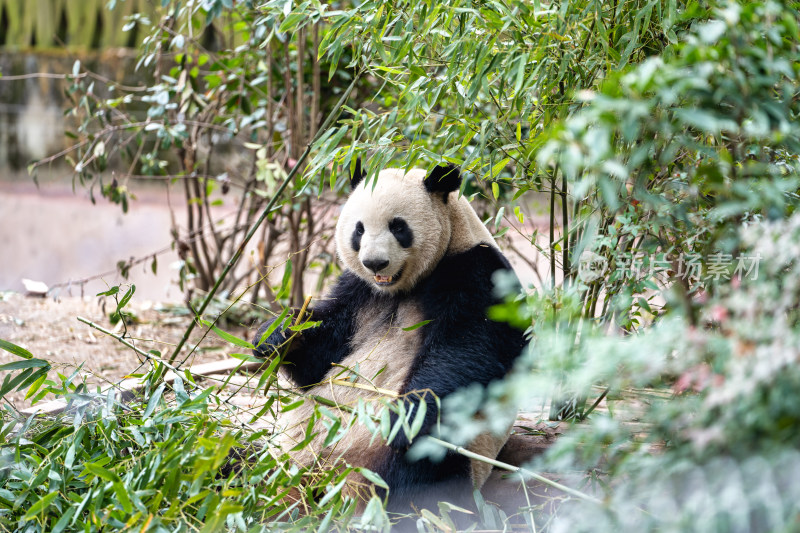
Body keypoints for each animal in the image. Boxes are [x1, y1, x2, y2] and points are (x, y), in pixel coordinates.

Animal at [255, 162, 524, 512]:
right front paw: (276, 334)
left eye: (398, 227)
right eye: (358, 230)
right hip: (284, 458)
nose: (374, 263)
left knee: (420, 472)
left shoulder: (476, 272)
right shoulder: (359, 292)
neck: (401, 287)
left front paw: (404, 418)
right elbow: (321, 354)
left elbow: (468, 349)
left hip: (448, 449)